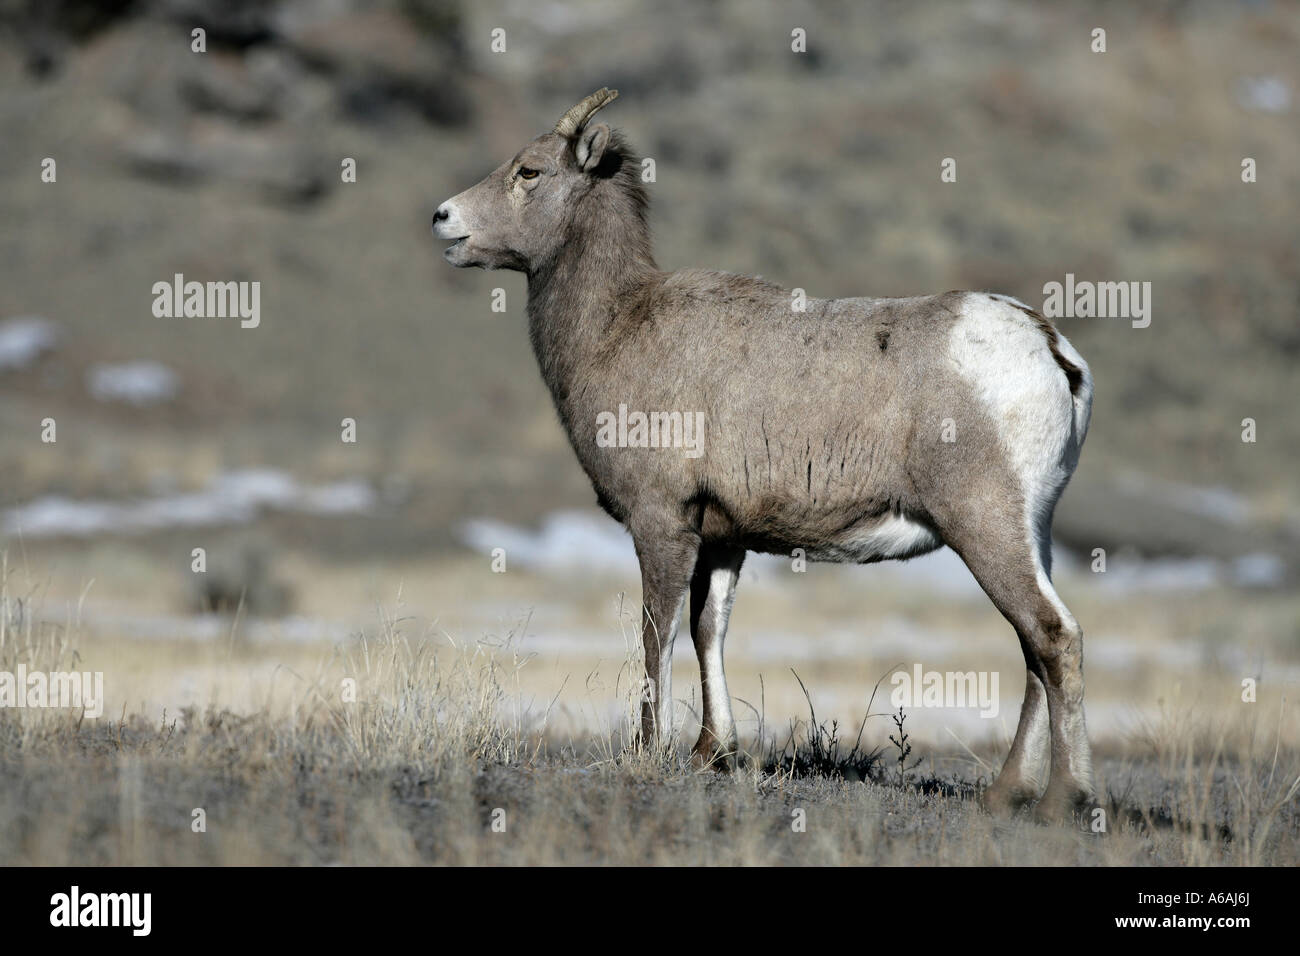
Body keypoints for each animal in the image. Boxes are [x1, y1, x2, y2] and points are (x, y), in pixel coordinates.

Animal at [431, 91, 1092, 822]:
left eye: (530, 170)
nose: (443, 218)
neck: (616, 327)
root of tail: (1050, 349)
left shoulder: (662, 525)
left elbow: (656, 635)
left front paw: (649, 753)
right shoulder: (724, 539)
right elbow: (707, 630)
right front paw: (711, 753)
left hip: (985, 526)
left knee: (1052, 636)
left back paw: (1065, 797)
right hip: (1031, 533)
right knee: (1033, 646)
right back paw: (1005, 794)